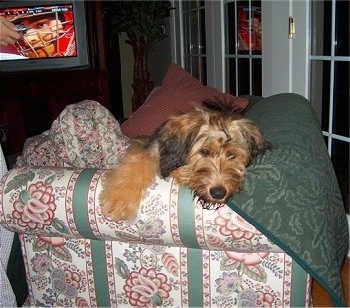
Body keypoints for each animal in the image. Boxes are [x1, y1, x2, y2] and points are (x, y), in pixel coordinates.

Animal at [98, 100, 270, 223]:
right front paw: (118, 201)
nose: (218, 193)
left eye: (232, 155)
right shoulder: (149, 149)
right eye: (205, 151)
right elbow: (137, 164)